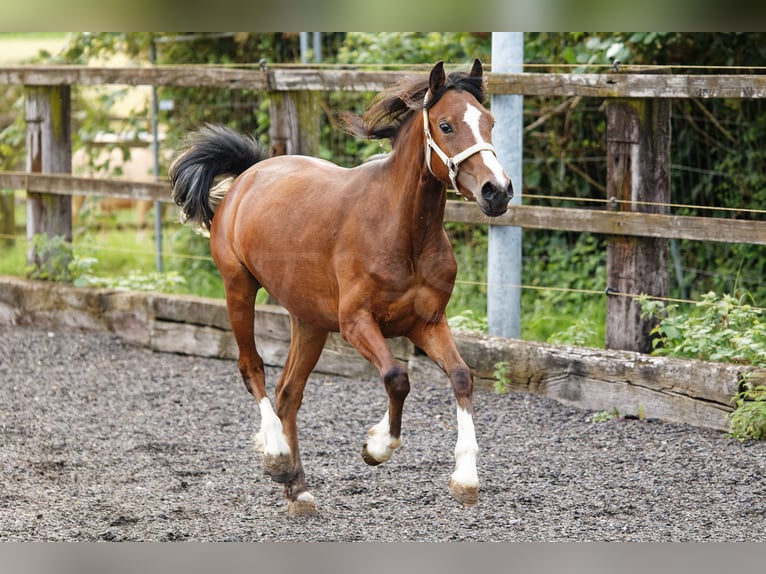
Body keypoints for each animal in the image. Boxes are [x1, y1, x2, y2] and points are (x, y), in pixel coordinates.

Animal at [171, 59, 512, 516]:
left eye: (490, 122)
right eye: (445, 125)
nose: (498, 191)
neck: (402, 231)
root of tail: (247, 176)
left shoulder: (427, 323)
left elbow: (460, 376)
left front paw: (465, 479)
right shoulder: (355, 323)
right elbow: (396, 377)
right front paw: (376, 446)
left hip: (309, 320)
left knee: (288, 393)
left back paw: (297, 489)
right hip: (238, 288)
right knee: (252, 368)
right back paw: (276, 456)